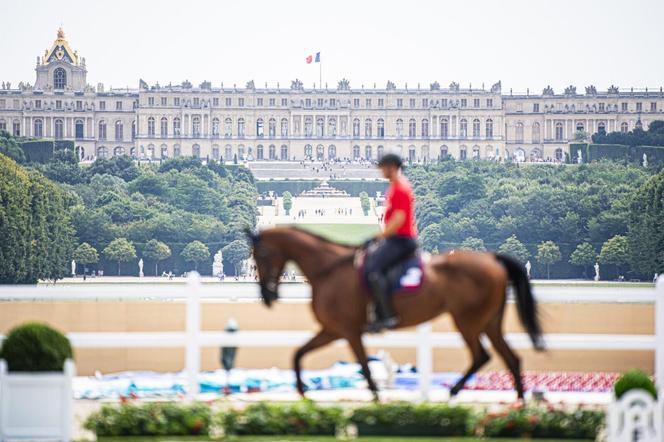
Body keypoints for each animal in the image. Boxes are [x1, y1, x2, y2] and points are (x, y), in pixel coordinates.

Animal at [246, 228, 544, 400]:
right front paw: (303, 393)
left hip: (468, 321)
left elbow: (365, 368)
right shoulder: (333, 330)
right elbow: (298, 354)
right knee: (510, 359)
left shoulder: (348, 330)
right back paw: (518, 409)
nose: (267, 295)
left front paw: (377, 400)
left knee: (483, 356)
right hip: (488, 322)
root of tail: (492, 259)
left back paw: (454, 394)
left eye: (261, 254)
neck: (329, 270)